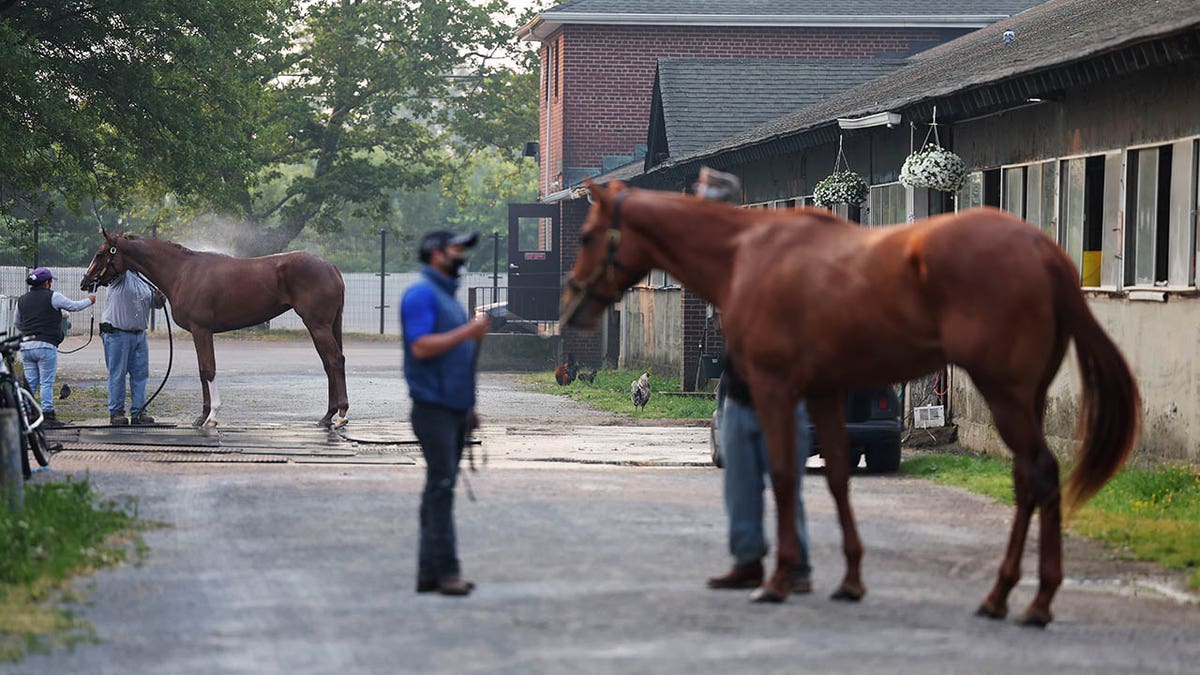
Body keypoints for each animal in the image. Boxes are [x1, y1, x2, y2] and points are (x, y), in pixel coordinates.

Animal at [81, 227, 348, 425]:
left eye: (101, 253)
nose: (85, 281)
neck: (182, 272)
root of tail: (331, 267)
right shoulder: (200, 332)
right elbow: (202, 371)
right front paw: (202, 416)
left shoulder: (202, 330)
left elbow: (208, 370)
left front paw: (211, 416)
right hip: (324, 326)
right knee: (328, 363)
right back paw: (328, 415)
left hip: (317, 325)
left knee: (335, 360)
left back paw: (341, 414)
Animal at [564, 180, 1142, 624]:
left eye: (588, 234)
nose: (572, 299)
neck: (746, 254)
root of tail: (1043, 251)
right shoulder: (822, 392)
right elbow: (839, 477)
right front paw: (849, 580)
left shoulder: (776, 388)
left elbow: (785, 475)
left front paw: (778, 580)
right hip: (1026, 398)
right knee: (1029, 479)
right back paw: (1004, 596)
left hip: (1006, 395)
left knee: (1040, 473)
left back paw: (1033, 602)